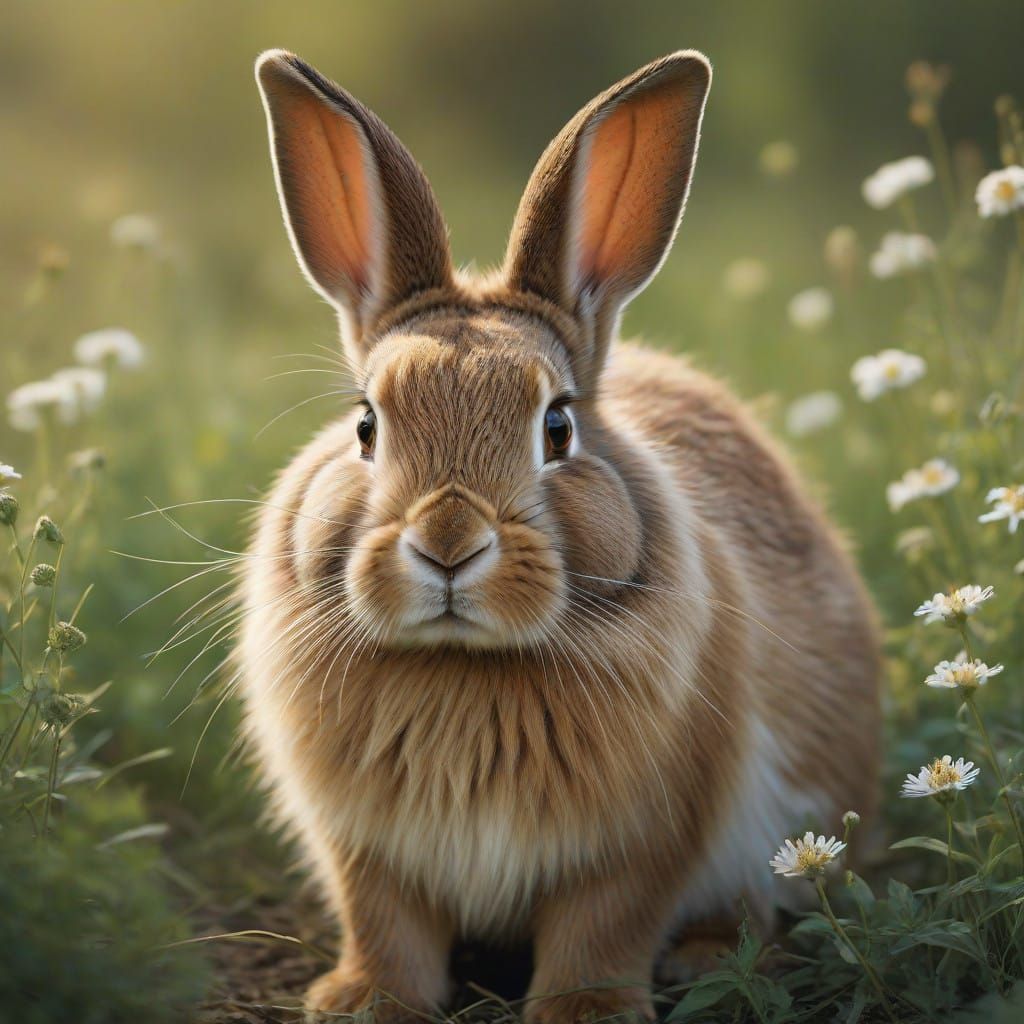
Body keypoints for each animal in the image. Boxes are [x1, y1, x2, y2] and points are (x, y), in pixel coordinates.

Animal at [242, 47, 880, 1024]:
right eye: (366, 426)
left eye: (557, 429)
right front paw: (363, 1001)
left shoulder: (645, 840)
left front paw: (584, 1010)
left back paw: (707, 961)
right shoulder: (364, 847)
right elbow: (385, 921)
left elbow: (603, 925)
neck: (463, 670)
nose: (450, 542)